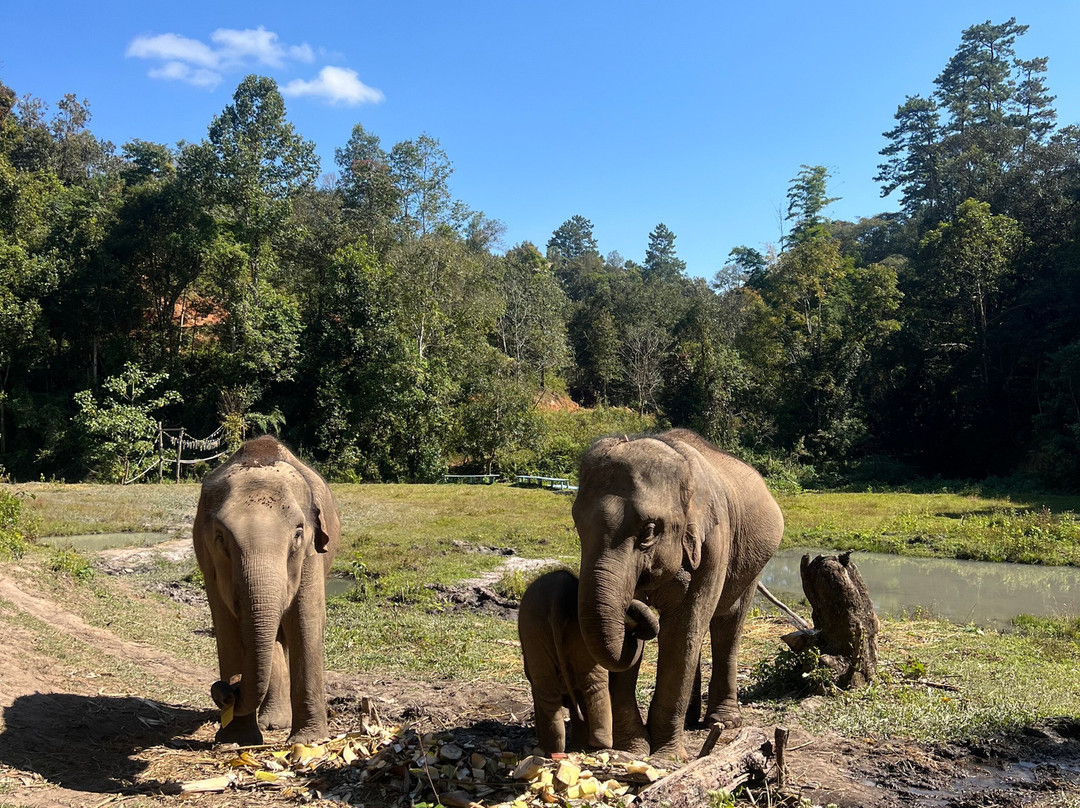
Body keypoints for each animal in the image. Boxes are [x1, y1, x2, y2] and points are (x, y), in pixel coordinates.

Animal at [193, 435, 340, 746]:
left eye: (298, 533)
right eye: (220, 538)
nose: (228, 689)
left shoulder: (310, 554)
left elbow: (305, 621)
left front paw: (308, 741)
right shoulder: (207, 560)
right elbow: (226, 626)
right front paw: (237, 739)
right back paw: (272, 723)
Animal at [518, 569, 658, 755]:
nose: (633, 632)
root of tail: (557, 598)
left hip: (550, 629)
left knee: (563, 687)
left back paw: (564, 748)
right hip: (552, 629)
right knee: (578, 685)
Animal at [572, 429, 784, 759]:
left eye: (648, 531)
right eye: (577, 526)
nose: (634, 607)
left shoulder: (715, 543)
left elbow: (682, 628)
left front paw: (666, 756)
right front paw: (633, 749)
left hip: (753, 563)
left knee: (726, 624)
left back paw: (724, 721)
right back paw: (690, 718)